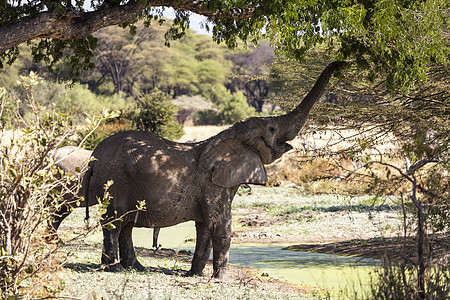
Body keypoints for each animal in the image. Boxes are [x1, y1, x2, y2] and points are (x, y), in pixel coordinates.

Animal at [84, 61, 344, 278]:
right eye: (271, 129)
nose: (343, 63)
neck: (228, 136)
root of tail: (93, 157)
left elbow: (205, 228)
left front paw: (195, 275)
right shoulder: (213, 185)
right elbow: (221, 225)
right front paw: (220, 279)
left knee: (125, 226)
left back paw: (136, 268)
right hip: (114, 181)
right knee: (114, 223)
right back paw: (114, 269)